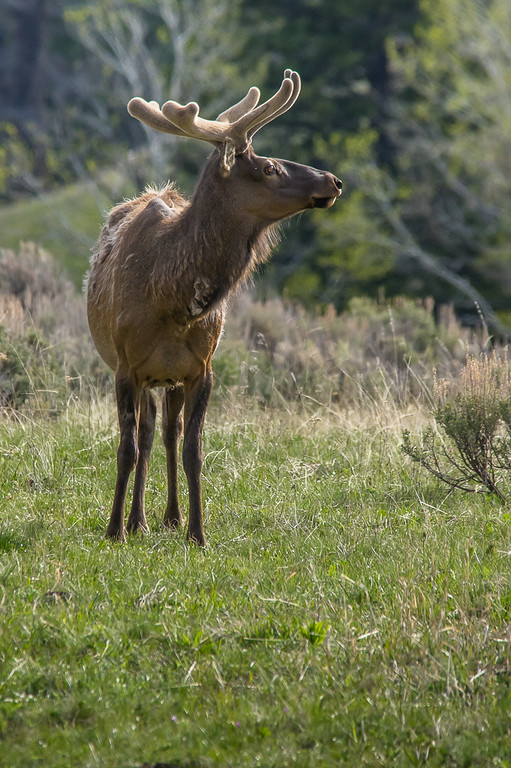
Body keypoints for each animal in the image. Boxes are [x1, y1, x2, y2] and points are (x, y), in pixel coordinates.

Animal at [87, 67, 344, 544]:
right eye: (268, 167)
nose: (333, 181)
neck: (170, 300)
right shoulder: (126, 366)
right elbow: (126, 448)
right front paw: (113, 530)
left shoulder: (200, 369)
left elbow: (194, 450)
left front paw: (197, 533)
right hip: (141, 373)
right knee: (146, 436)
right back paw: (137, 521)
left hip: (169, 378)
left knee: (167, 434)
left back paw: (165, 517)